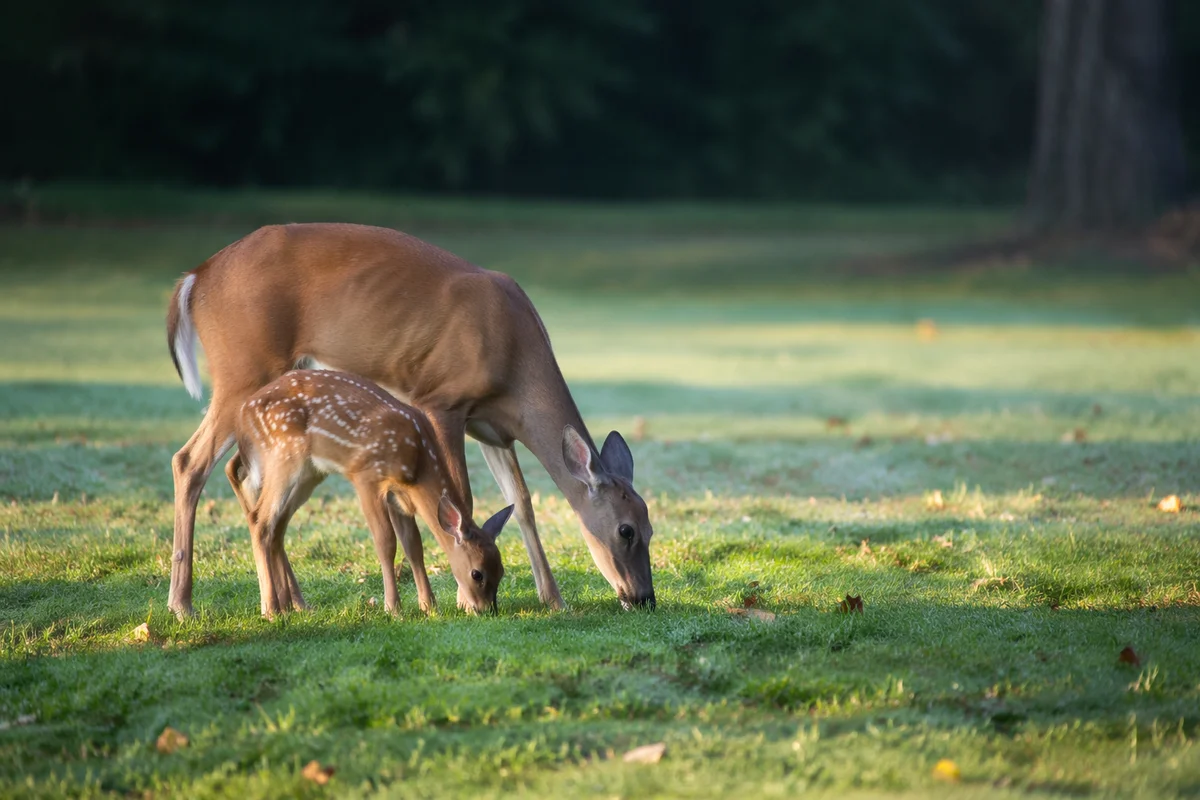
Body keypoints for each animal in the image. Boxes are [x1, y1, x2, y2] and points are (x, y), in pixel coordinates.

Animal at [227, 368, 513, 617]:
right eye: (477, 573)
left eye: (501, 571)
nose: (487, 609)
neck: (418, 463)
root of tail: (242, 415)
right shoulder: (366, 476)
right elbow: (386, 542)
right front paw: (393, 609)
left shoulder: (400, 496)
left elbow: (413, 546)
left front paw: (428, 606)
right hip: (284, 456)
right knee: (260, 520)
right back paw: (271, 610)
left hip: (308, 474)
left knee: (275, 526)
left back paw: (291, 606)